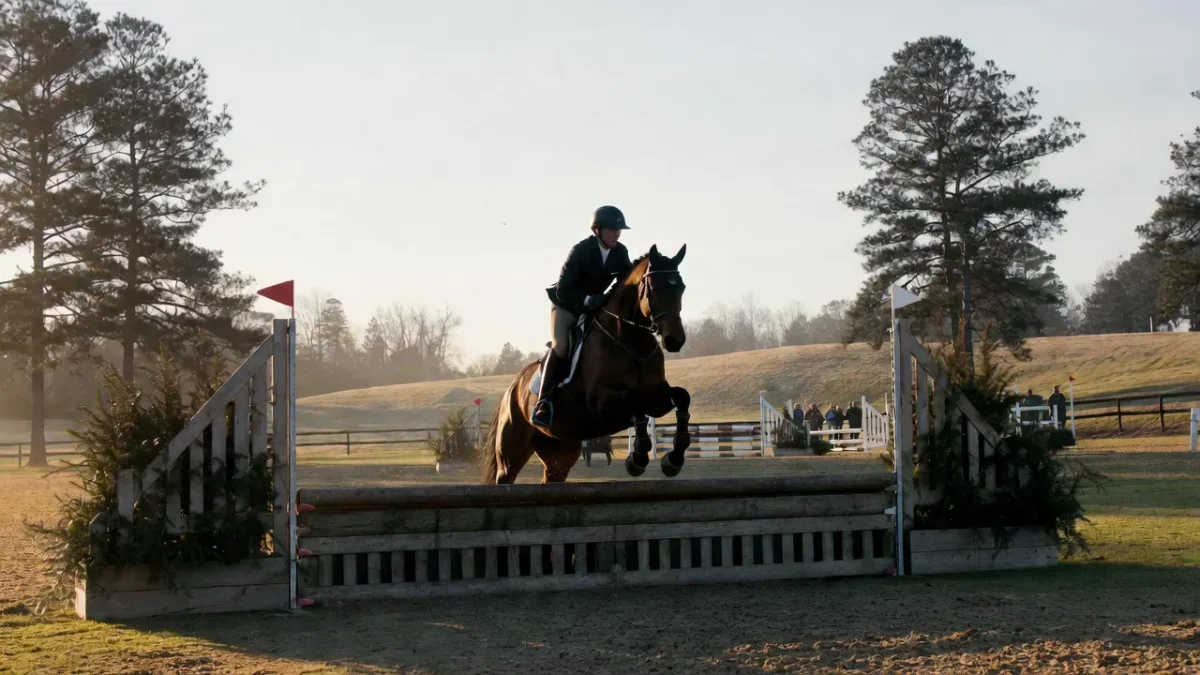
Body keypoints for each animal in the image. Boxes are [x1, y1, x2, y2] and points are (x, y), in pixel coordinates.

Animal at [481, 243, 692, 484]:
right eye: (654, 288)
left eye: (681, 288)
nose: (675, 340)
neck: (630, 342)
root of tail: (511, 389)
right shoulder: (601, 403)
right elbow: (634, 400)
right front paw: (637, 458)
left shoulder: (657, 396)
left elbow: (681, 396)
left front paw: (673, 460)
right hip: (511, 453)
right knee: (505, 476)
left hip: (559, 450)